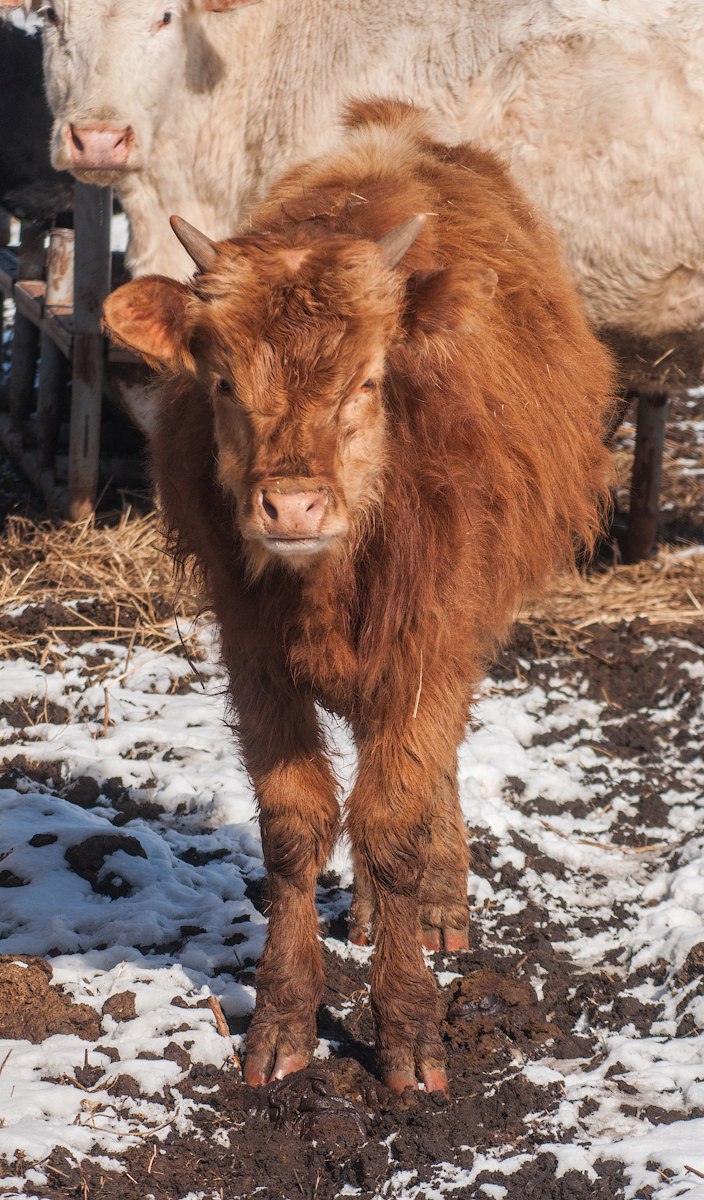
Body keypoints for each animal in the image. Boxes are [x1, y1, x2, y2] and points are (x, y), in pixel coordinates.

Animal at [103, 103, 618, 1099]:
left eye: (368, 381)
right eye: (223, 382)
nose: (294, 505)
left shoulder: (431, 640)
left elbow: (394, 825)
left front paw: (411, 1026)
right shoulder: (251, 650)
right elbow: (295, 828)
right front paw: (284, 1018)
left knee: (429, 775)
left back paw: (438, 903)